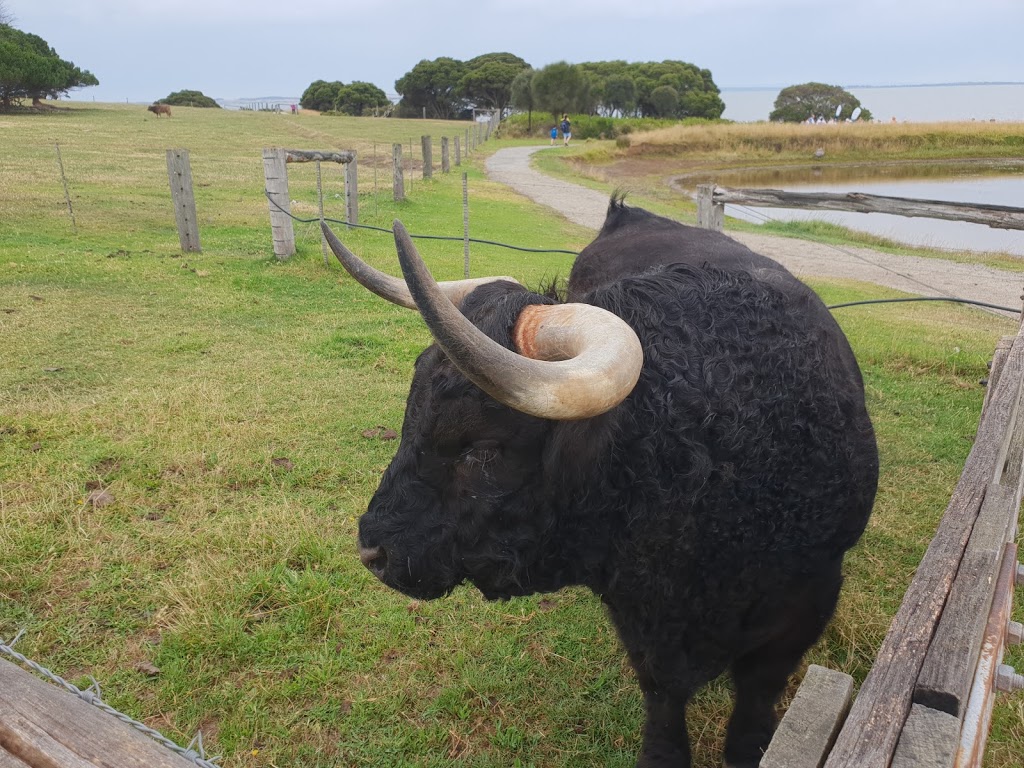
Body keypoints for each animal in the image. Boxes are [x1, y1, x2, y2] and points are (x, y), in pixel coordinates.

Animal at [321, 198, 880, 768]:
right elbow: (663, 691)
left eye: (482, 449)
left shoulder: (809, 598)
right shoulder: (639, 611)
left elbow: (759, 690)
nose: (373, 550)